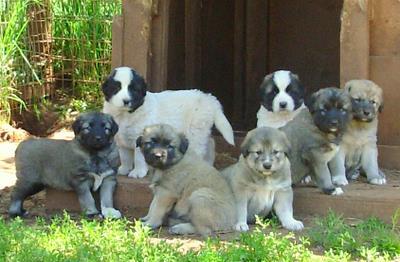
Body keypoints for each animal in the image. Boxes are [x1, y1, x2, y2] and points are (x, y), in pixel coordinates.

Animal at [101, 66, 236, 179]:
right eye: (117, 88)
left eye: (133, 90)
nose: (126, 101)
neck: (126, 114)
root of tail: (210, 99)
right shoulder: (122, 139)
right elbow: (124, 156)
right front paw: (124, 169)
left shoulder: (139, 137)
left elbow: (138, 158)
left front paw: (138, 172)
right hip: (202, 129)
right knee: (210, 143)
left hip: (195, 132)